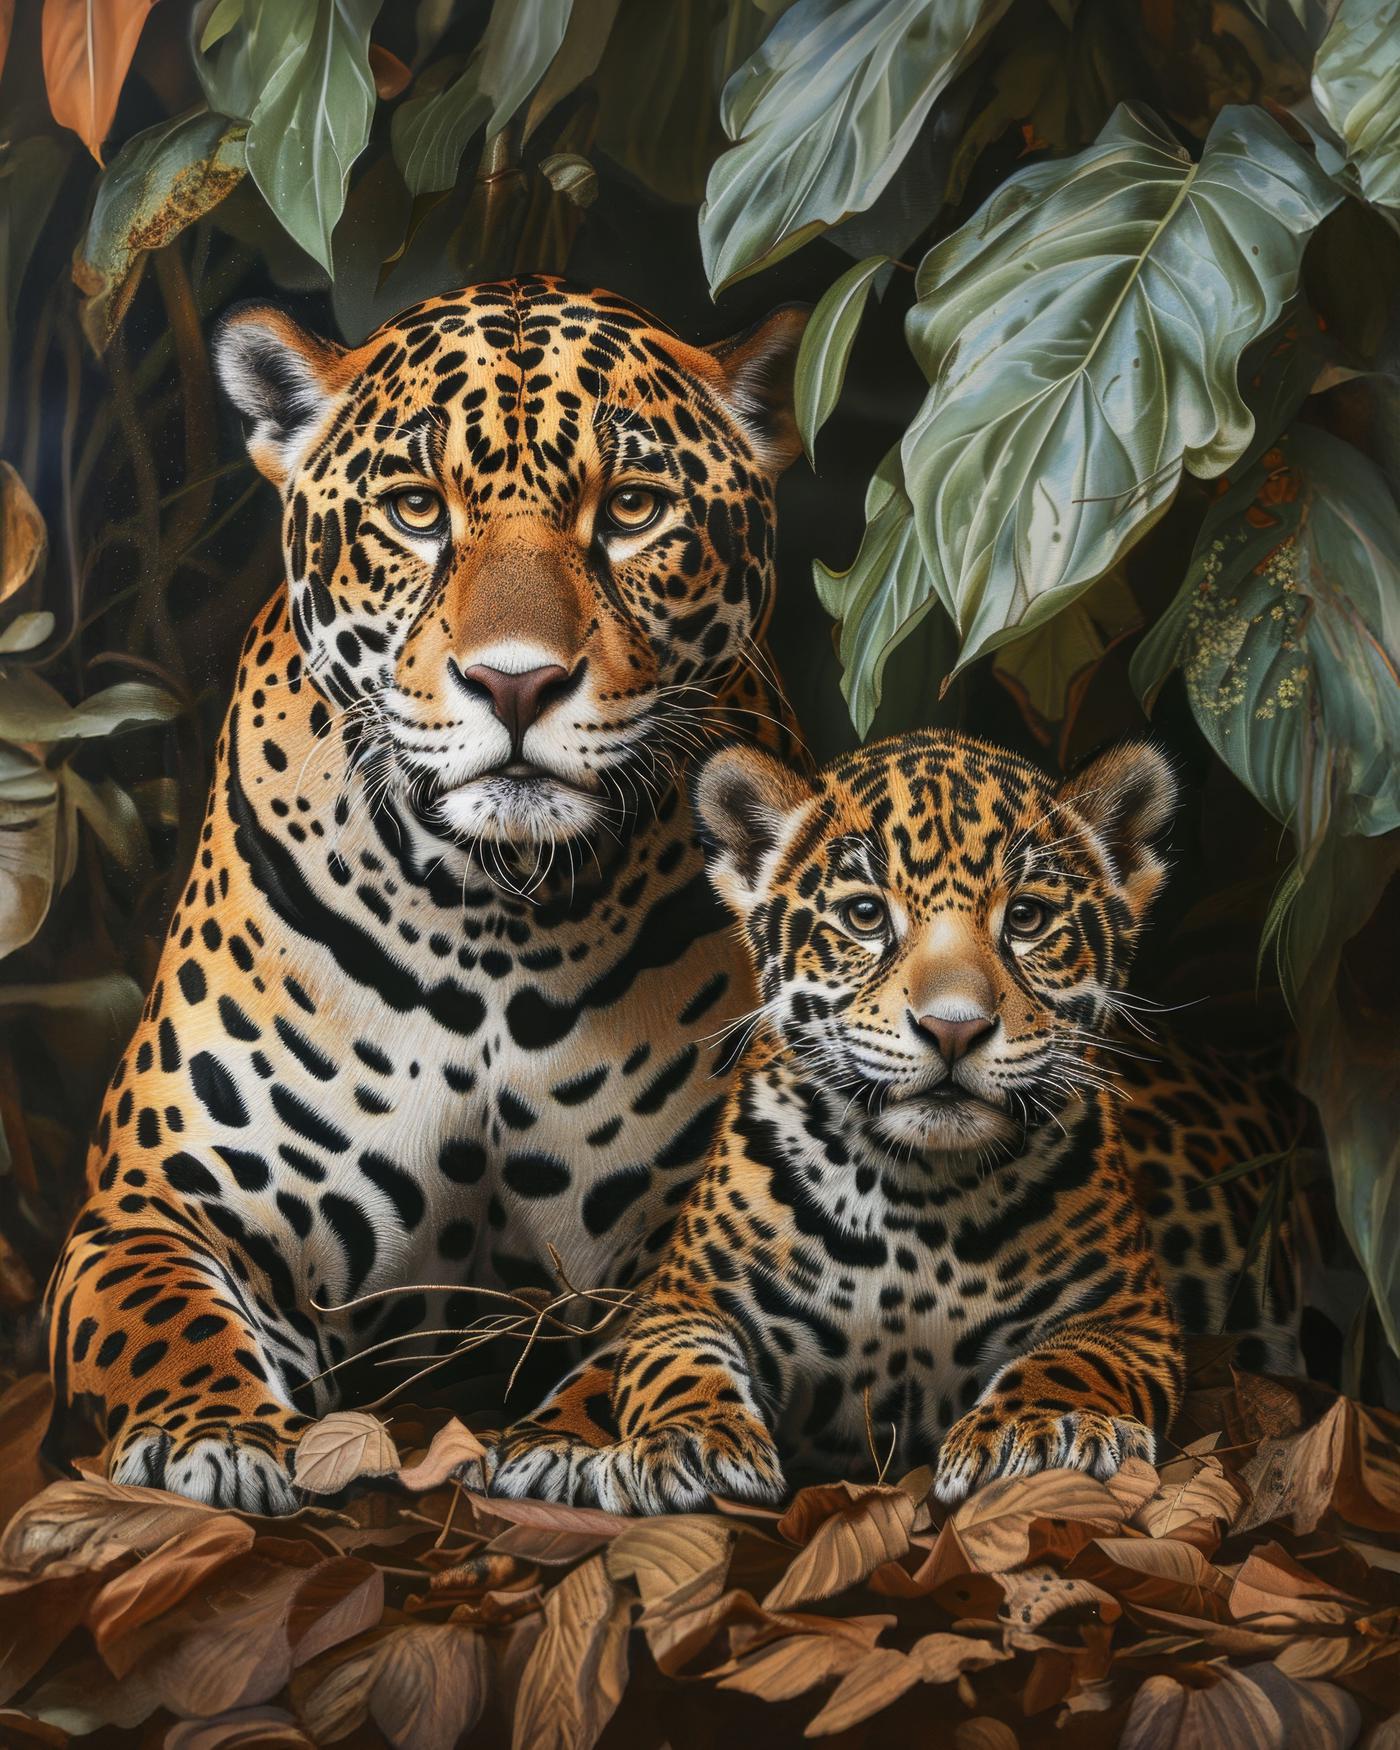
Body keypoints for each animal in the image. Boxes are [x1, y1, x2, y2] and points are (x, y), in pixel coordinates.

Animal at [485, 729, 1297, 1513]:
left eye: (1027, 918)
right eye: (866, 916)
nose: (953, 1028)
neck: (920, 1197)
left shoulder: (1128, 1317)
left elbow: (1069, 1362)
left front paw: (1046, 1429)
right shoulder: (689, 1300)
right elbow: (662, 1367)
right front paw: (666, 1443)